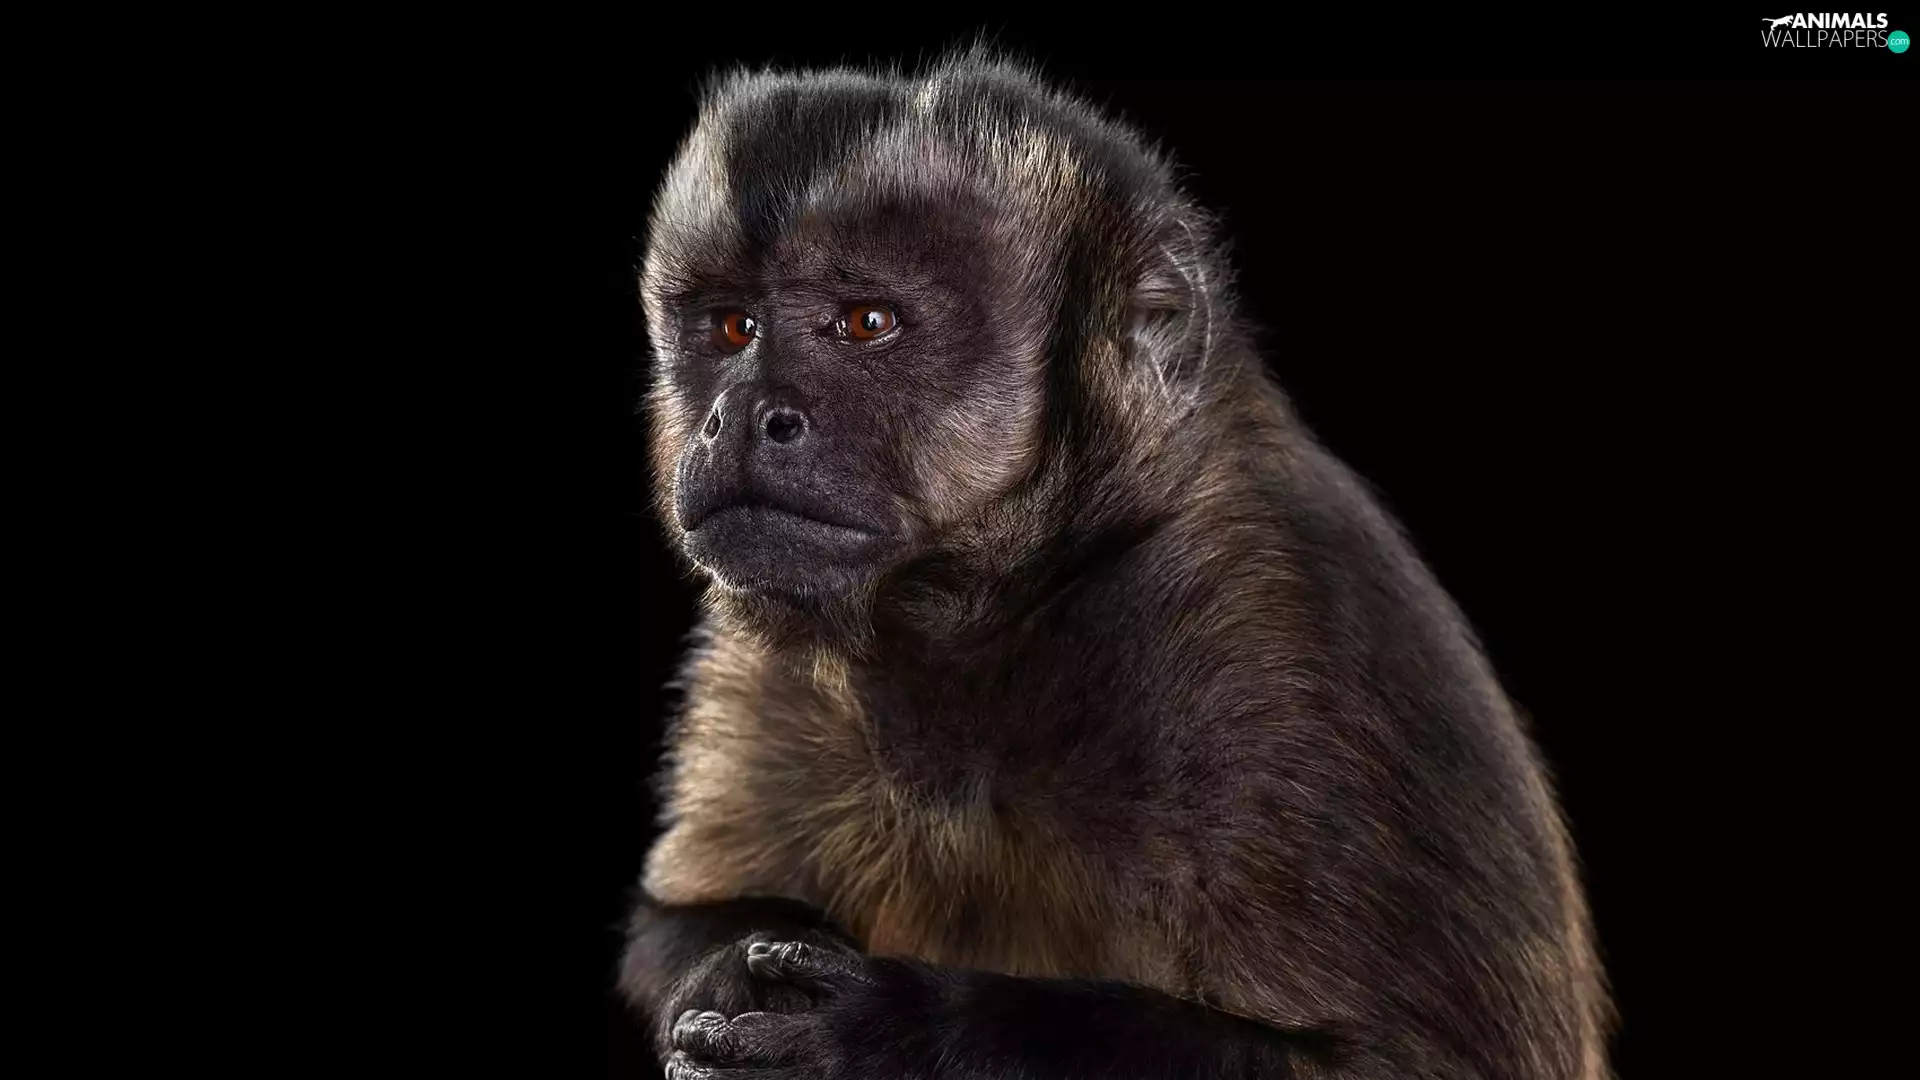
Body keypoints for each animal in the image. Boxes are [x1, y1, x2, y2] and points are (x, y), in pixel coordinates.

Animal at [618, 50, 1612, 1080]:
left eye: (866, 322)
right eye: (732, 329)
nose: (739, 415)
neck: (1007, 606)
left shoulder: (1281, 640)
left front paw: (887, 1031)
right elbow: (674, 927)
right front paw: (722, 971)